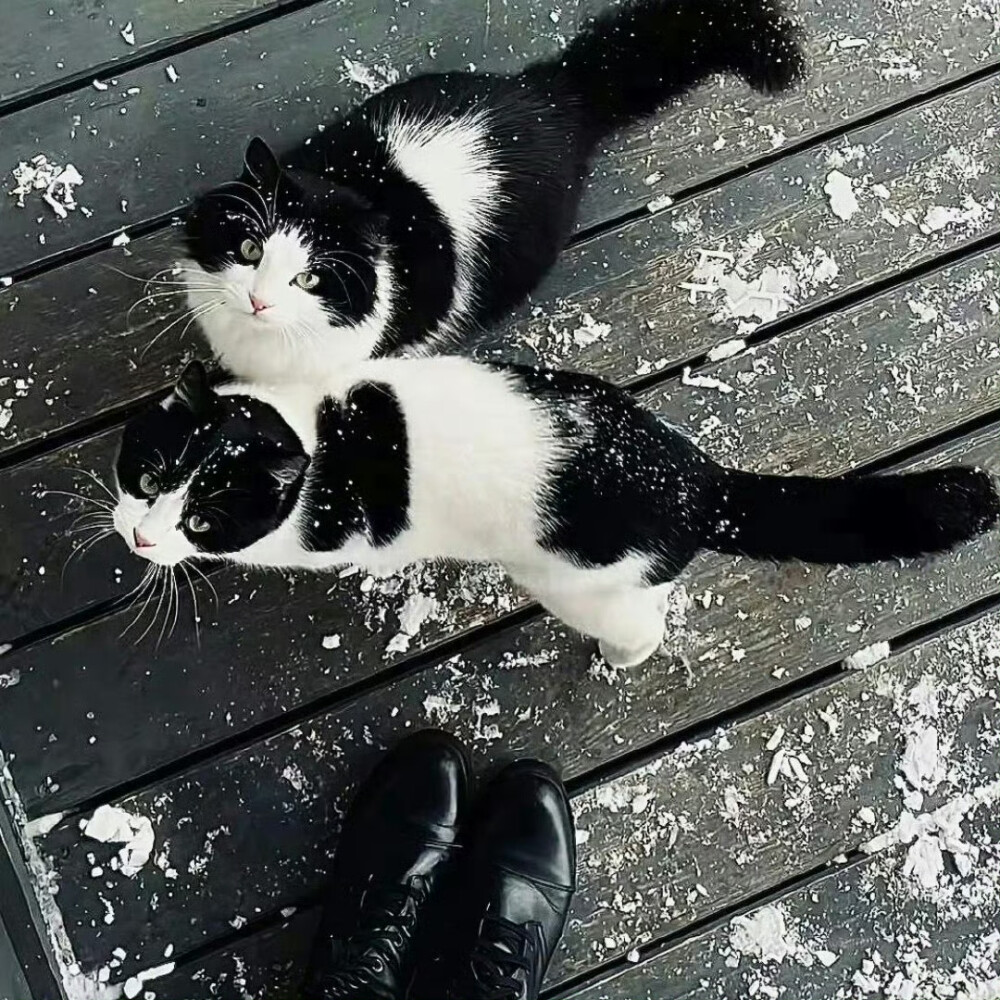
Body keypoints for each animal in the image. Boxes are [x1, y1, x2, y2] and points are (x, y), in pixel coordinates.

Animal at [111, 364, 1000, 668]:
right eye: (146, 473)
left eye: (204, 524)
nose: (138, 535)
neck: (307, 420)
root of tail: (699, 483)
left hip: (579, 587)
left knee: (641, 626)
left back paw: (619, 657)